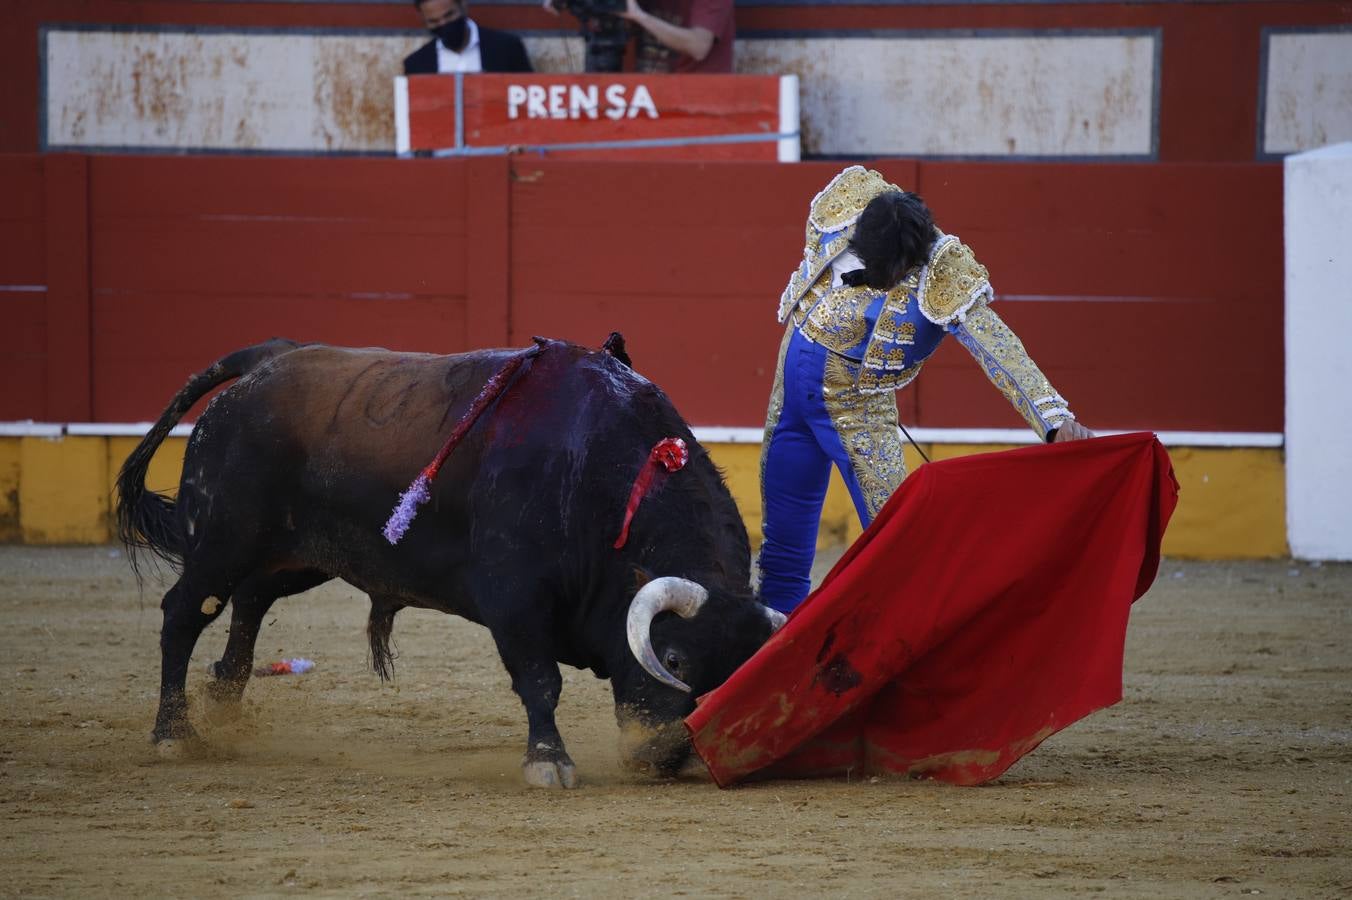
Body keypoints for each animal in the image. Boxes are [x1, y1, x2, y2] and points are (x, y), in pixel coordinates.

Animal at [121, 335, 789, 783]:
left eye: (736, 670)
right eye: (672, 657)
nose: (664, 755)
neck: (601, 475)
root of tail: (263, 363)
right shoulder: (515, 600)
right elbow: (540, 681)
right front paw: (548, 762)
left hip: (298, 559)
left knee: (250, 602)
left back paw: (223, 711)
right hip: (222, 542)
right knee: (185, 613)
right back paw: (173, 734)